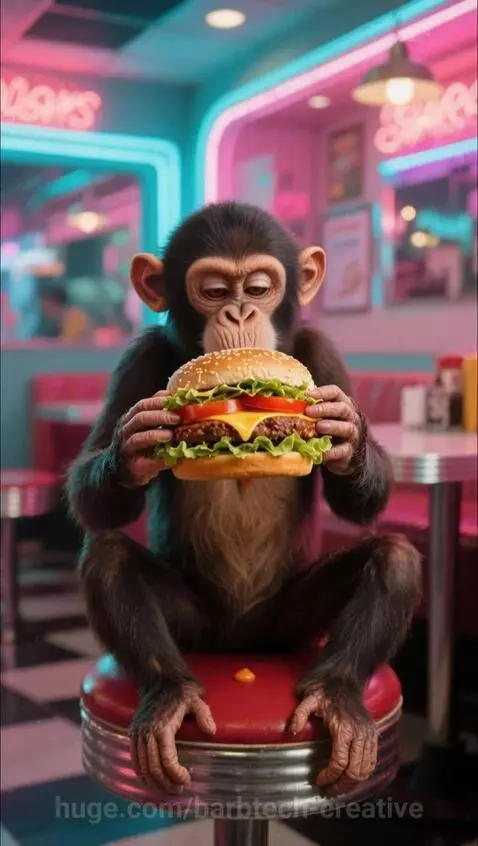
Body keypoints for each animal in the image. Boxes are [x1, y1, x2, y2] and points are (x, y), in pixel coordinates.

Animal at [67, 202, 421, 798]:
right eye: (212, 290)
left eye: (259, 286)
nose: (238, 312)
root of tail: (242, 646)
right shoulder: (139, 358)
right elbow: (90, 492)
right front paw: (131, 443)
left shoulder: (321, 355)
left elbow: (359, 509)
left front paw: (348, 433)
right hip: (198, 629)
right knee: (109, 557)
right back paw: (170, 694)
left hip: (290, 627)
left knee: (394, 558)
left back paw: (337, 696)